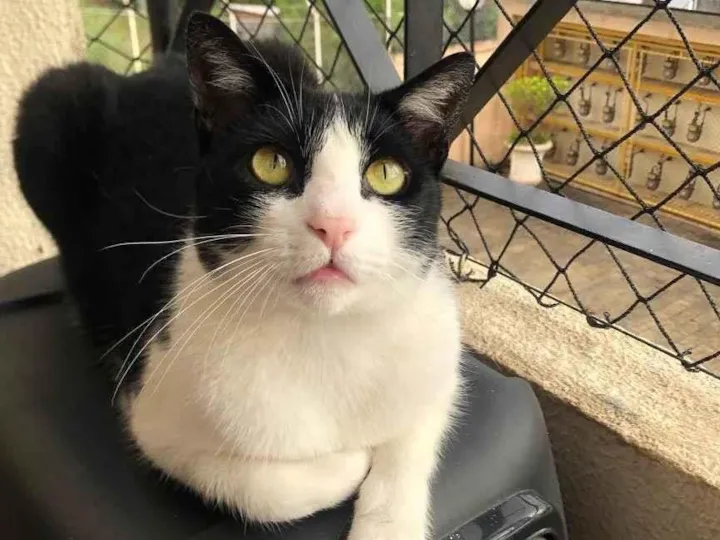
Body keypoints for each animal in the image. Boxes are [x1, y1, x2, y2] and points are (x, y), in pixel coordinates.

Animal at [13, 12, 475, 540]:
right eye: (271, 164)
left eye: (385, 174)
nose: (333, 224)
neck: (325, 335)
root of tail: (159, 66)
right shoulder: (152, 413)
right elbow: (264, 486)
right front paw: (352, 460)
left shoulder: (432, 354)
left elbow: (413, 433)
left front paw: (388, 519)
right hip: (50, 103)